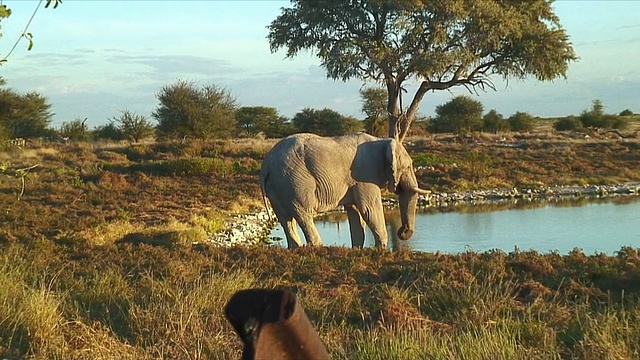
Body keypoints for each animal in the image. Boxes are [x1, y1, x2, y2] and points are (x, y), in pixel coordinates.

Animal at [258, 131, 430, 248]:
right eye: (408, 167)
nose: (402, 231)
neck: (381, 141)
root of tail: (267, 163)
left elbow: (355, 211)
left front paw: (357, 250)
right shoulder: (365, 174)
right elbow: (369, 209)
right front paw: (380, 250)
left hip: (278, 184)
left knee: (284, 218)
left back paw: (296, 248)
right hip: (294, 181)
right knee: (303, 213)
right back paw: (318, 247)